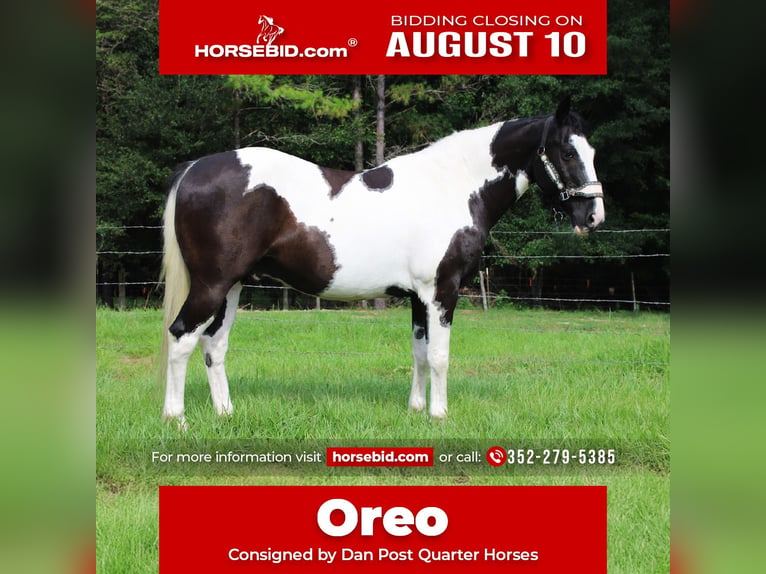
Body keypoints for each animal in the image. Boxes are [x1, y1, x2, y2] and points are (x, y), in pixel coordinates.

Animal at [160, 97, 605, 427]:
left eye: (592, 151)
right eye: (568, 151)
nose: (593, 216)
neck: (452, 187)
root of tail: (194, 167)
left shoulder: (418, 297)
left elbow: (420, 352)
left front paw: (416, 410)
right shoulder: (442, 292)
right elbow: (440, 356)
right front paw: (440, 415)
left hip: (232, 286)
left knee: (214, 344)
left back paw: (225, 413)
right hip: (212, 284)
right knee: (181, 337)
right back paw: (176, 419)